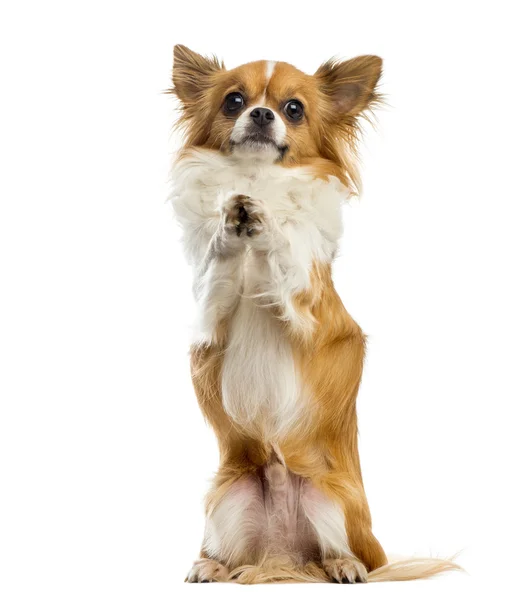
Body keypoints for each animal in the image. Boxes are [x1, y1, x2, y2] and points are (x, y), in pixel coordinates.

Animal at [168, 44, 460, 584]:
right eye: (234, 101)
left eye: (293, 109)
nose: (261, 114)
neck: (257, 179)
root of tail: (283, 557)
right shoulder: (208, 318)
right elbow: (219, 264)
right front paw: (231, 219)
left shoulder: (310, 308)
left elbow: (286, 251)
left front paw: (267, 219)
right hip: (227, 496)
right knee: (235, 554)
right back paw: (212, 565)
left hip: (332, 501)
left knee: (338, 555)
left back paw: (344, 564)